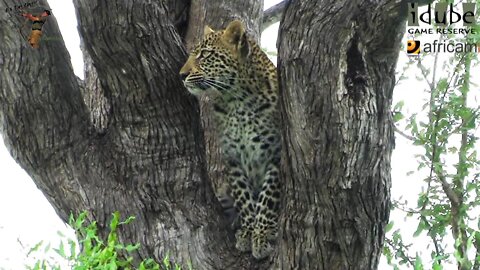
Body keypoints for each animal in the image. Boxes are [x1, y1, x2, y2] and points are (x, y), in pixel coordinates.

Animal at [180, 20, 282, 258]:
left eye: (205, 54)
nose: (181, 75)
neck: (238, 100)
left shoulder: (276, 153)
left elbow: (268, 196)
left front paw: (263, 234)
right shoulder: (233, 156)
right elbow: (244, 198)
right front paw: (248, 232)